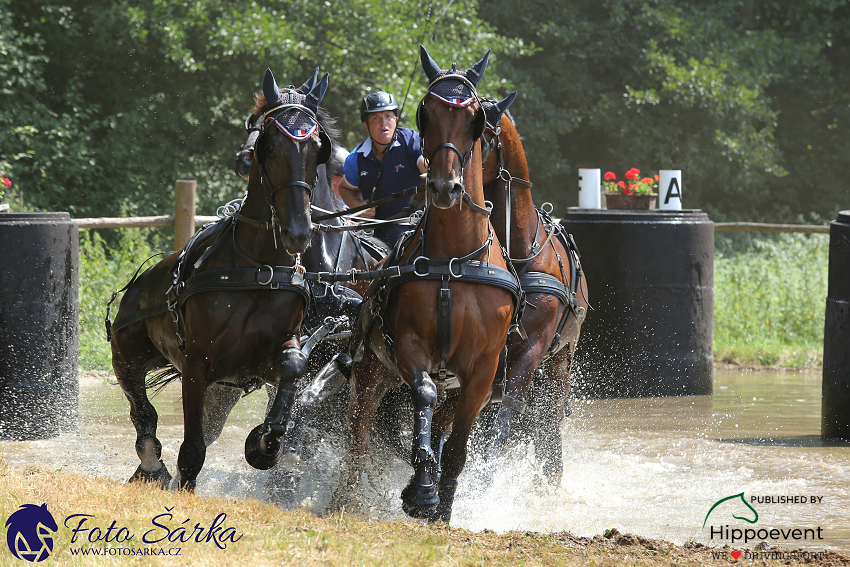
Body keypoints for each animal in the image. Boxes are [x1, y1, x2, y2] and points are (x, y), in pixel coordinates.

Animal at [109, 69, 338, 490]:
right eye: (269, 145)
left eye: (318, 148)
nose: (299, 232)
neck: (257, 267)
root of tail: (138, 285)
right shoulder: (197, 364)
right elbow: (192, 449)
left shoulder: (262, 360)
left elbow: (294, 368)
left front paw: (267, 441)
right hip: (127, 355)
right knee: (143, 414)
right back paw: (150, 463)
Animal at [330, 47, 516, 524]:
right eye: (427, 113)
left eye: (474, 117)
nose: (444, 187)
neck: (454, 260)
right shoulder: (410, 348)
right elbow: (424, 394)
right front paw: (422, 489)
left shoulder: (481, 371)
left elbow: (456, 448)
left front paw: (441, 506)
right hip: (371, 373)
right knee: (358, 436)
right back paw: (344, 500)